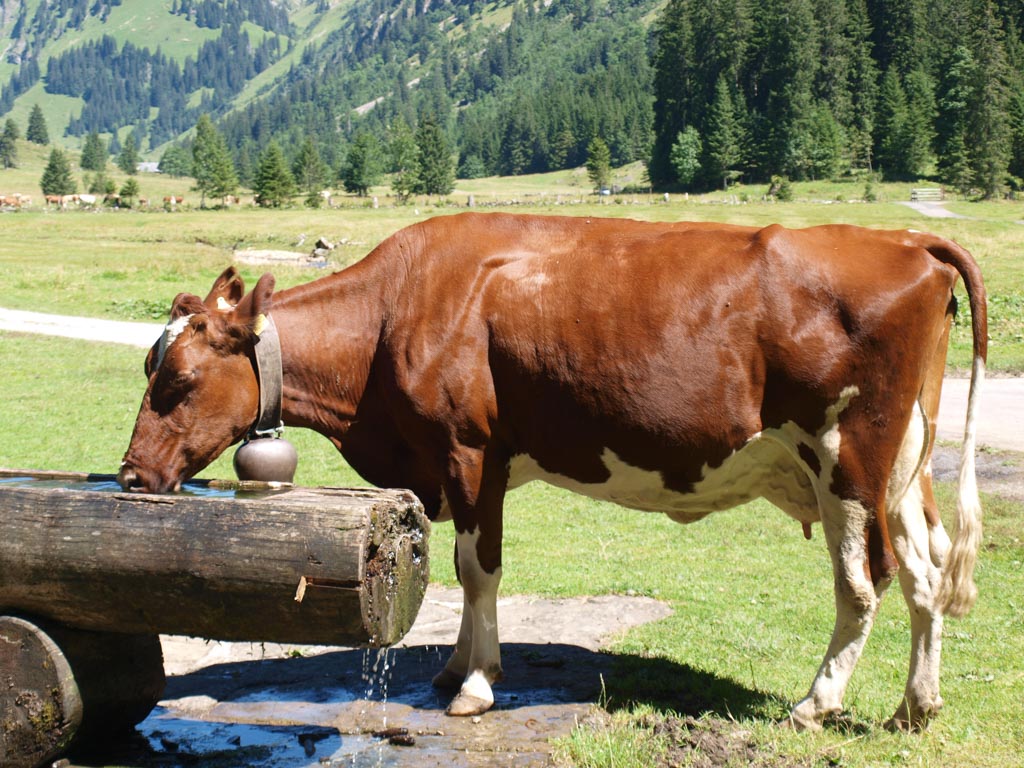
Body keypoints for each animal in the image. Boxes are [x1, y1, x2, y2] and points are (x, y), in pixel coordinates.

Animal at [117, 214, 983, 729]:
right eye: (150, 370)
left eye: (179, 380)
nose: (129, 476)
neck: (395, 311)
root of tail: (907, 242)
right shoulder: (461, 466)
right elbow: (466, 567)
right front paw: (455, 668)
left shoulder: (470, 451)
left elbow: (479, 568)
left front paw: (474, 684)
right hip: (903, 463)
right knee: (925, 571)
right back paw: (917, 704)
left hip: (849, 457)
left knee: (864, 582)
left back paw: (816, 703)